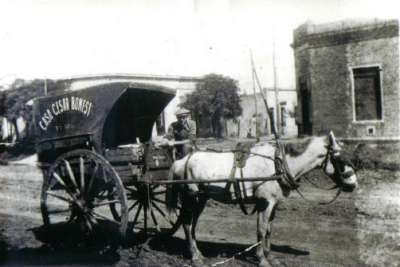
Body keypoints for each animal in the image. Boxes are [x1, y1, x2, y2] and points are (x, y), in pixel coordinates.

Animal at [166, 132, 356, 267]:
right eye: (340, 158)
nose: (354, 184)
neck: (278, 165)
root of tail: (182, 161)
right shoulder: (265, 203)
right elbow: (261, 230)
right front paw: (261, 259)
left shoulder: (274, 205)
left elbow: (269, 230)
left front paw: (270, 257)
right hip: (190, 199)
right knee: (186, 223)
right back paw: (194, 257)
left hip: (202, 199)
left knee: (193, 224)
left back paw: (198, 253)